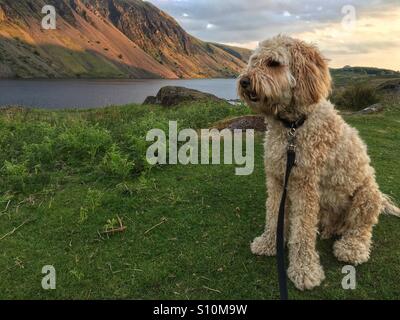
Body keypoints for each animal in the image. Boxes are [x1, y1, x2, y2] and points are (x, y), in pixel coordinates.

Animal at [238, 35, 400, 290]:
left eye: (273, 63)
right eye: (254, 61)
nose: (244, 81)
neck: (293, 127)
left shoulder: (305, 185)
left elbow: (303, 232)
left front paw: (304, 270)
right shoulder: (277, 179)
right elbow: (273, 215)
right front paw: (269, 243)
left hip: (367, 195)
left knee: (361, 228)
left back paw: (352, 247)